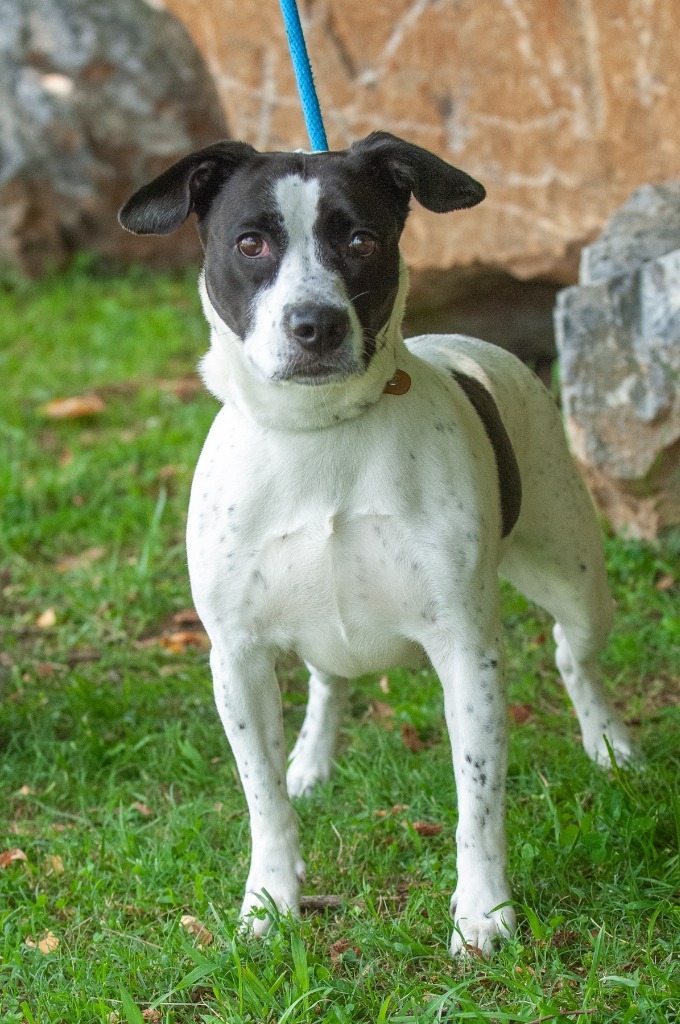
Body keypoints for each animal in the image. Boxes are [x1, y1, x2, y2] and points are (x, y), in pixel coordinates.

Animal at [118, 132, 639, 954]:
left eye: (361, 240)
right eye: (251, 243)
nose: (315, 325)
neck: (320, 434)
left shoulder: (467, 654)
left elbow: (477, 800)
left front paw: (483, 911)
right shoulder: (237, 658)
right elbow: (264, 801)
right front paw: (269, 901)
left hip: (577, 580)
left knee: (572, 657)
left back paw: (610, 744)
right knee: (328, 681)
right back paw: (310, 760)